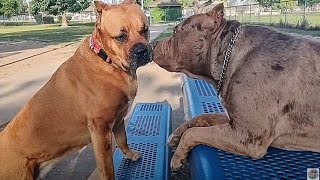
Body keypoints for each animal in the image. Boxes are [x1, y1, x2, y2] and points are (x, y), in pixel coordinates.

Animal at [0, 0, 151, 179]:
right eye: (121, 37)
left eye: (144, 30)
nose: (142, 51)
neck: (107, 60)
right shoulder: (101, 130)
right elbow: (107, 167)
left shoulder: (119, 118)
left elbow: (122, 140)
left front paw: (130, 154)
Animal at [152, 3, 320, 170]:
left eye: (176, 31)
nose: (152, 44)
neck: (231, 54)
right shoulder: (231, 119)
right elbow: (202, 117)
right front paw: (176, 134)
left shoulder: (245, 137)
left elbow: (193, 133)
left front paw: (178, 156)